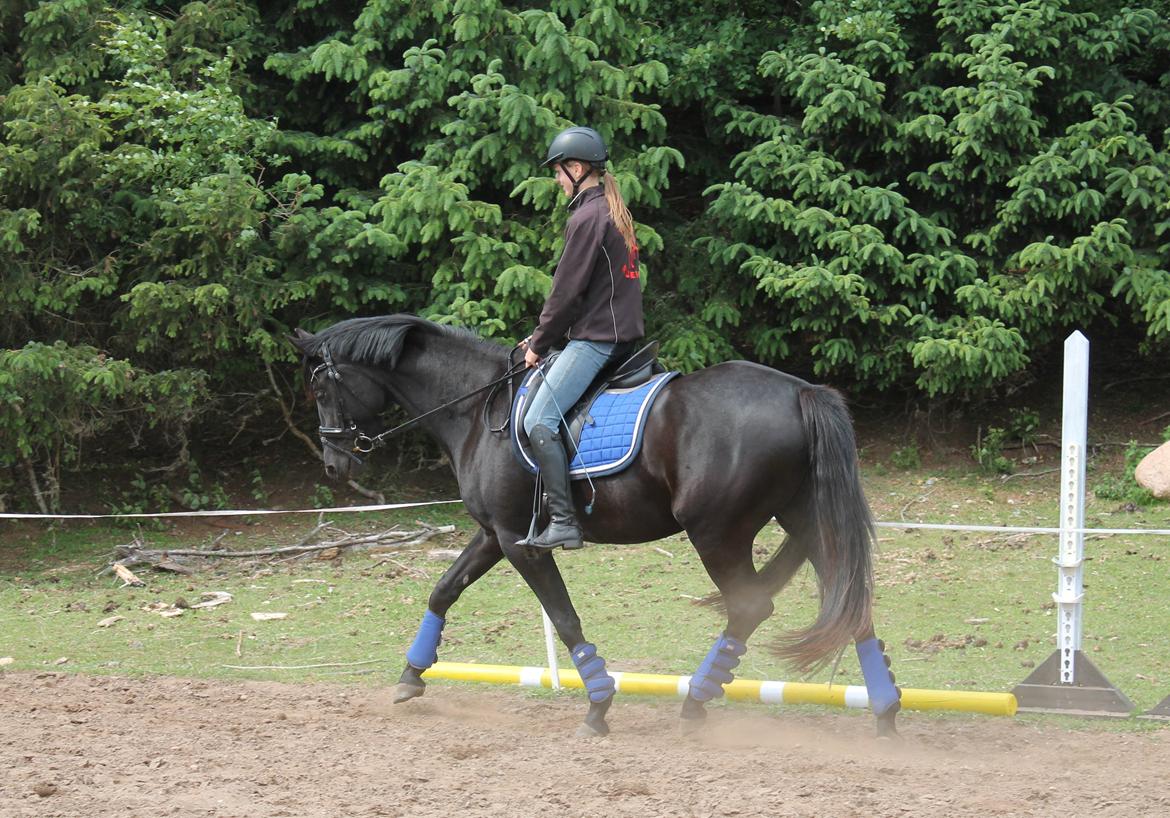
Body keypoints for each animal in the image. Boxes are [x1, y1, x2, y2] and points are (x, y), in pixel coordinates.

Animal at [287, 313, 898, 734]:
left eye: (321, 388)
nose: (335, 464)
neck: (477, 411)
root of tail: (801, 391)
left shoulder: (520, 542)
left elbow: (564, 619)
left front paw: (599, 705)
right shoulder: (492, 534)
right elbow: (443, 591)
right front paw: (412, 677)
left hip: (717, 532)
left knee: (750, 607)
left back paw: (695, 703)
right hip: (804, 518)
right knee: (851, 601)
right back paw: (886, 711)